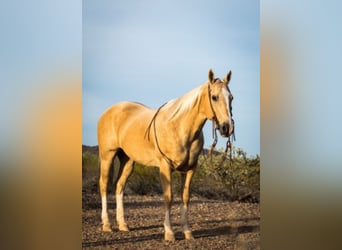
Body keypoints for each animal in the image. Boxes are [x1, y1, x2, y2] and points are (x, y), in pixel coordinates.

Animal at [97, 68, 234, 240]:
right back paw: (107, 225)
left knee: (119, 186)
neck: (179, 127)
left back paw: (123, 225)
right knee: (104, 185)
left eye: (231, 97)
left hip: (127, 160)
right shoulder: (165, 166)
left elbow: (185, 197)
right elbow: (168, 197)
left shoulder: (190, 169)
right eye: (214, 97)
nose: (226, 128)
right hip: (107, 156)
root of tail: (108, 111)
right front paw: (169, 233)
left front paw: (187, 232)